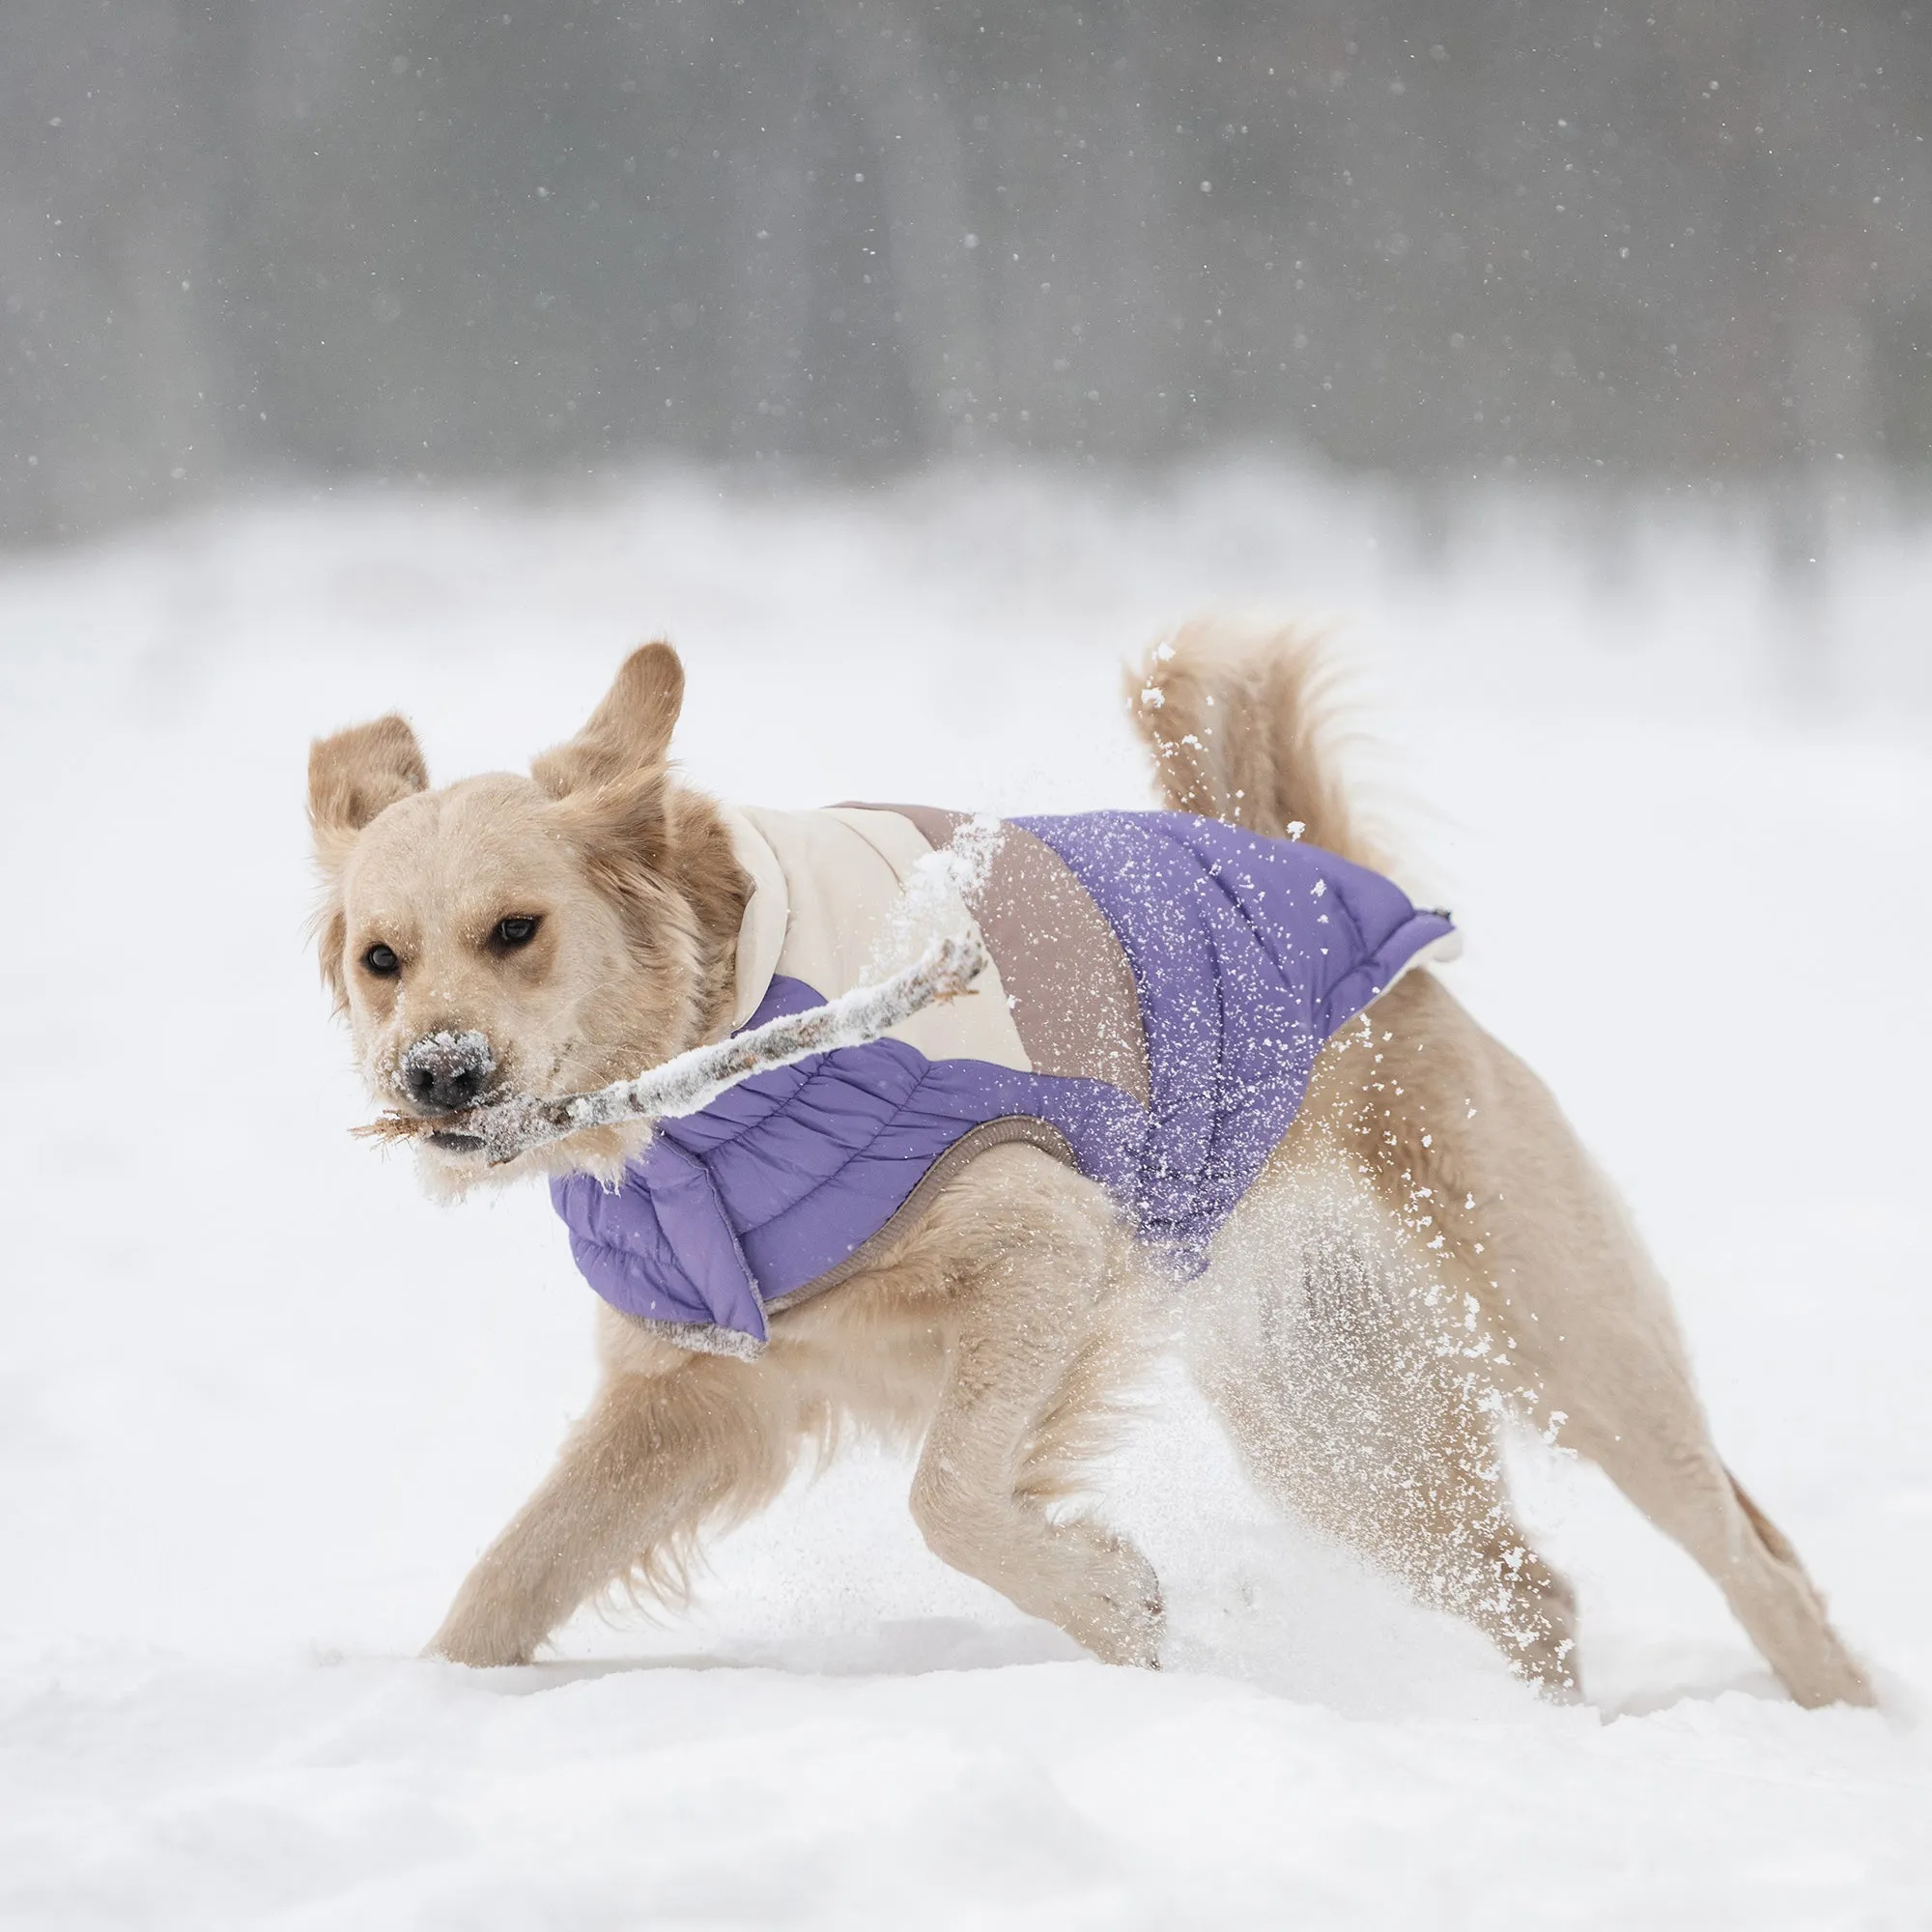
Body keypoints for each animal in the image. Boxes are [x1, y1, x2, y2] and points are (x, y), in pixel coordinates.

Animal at [305, 626, 1870, 1700]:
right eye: (382, 959)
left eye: (517, 929)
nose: (437, 1078)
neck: (718, 1062)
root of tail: (1345, 896)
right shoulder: (693, 1397)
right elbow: (505, 1581)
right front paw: (431, 1709)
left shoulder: (1040, 1238)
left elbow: (950, 1497)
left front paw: (1109, 1603)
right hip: (1332, 1418)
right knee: (1535, 1590)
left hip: (1566, 1340)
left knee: (1754, 1559)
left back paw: (1832, 1717)